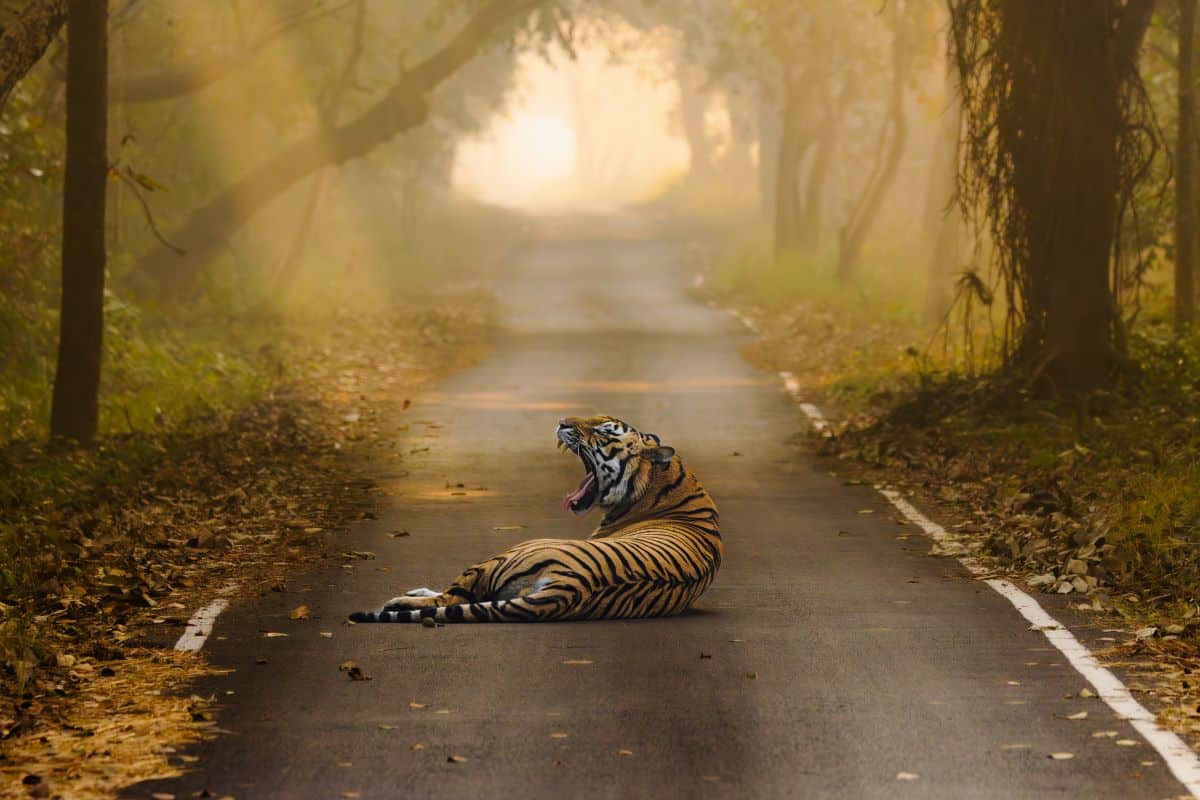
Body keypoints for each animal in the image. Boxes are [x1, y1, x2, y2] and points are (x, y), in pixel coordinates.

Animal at [348, 417, 720, 623]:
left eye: (604, 430)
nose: (562, 422)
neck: (666, 482)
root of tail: (570, 588)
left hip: (516, 548)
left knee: (453, 597)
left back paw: (399, 600)